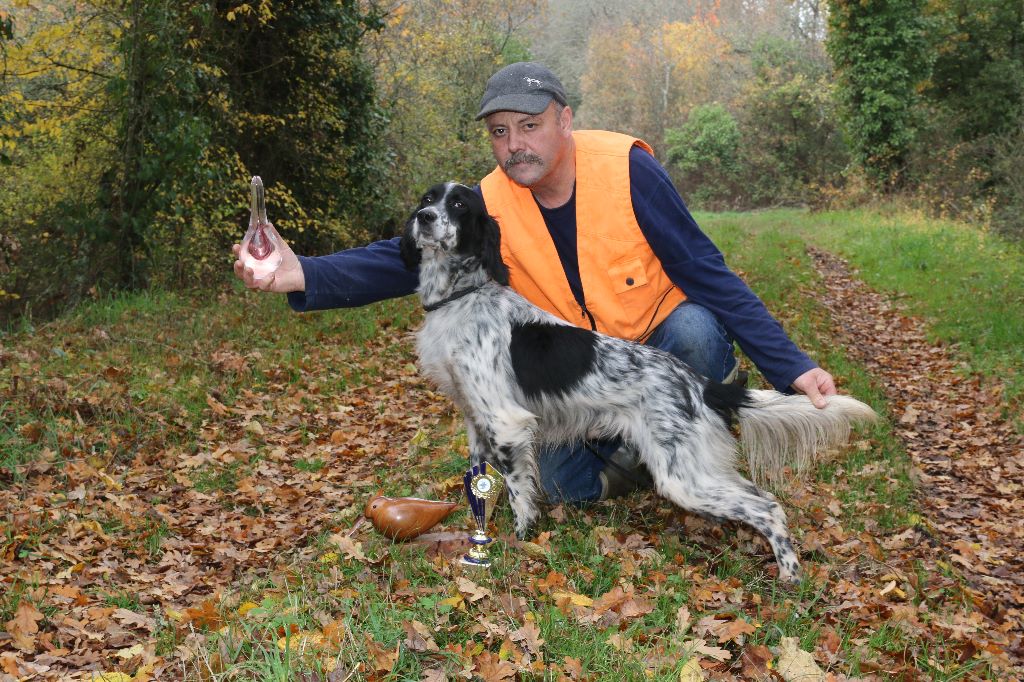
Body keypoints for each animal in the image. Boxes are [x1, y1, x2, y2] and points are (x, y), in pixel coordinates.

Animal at [399, 180, 880, 577]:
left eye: (459, 204)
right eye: (427, 198)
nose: (424, 218)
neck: (461, 298)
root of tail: (700, 384)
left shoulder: (505, 421)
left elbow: (518, 494)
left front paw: (517, 542)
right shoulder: (476, 420)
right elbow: (482, 483)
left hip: (682, 475)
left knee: (769, 507)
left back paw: (790, 575)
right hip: (696, 467)